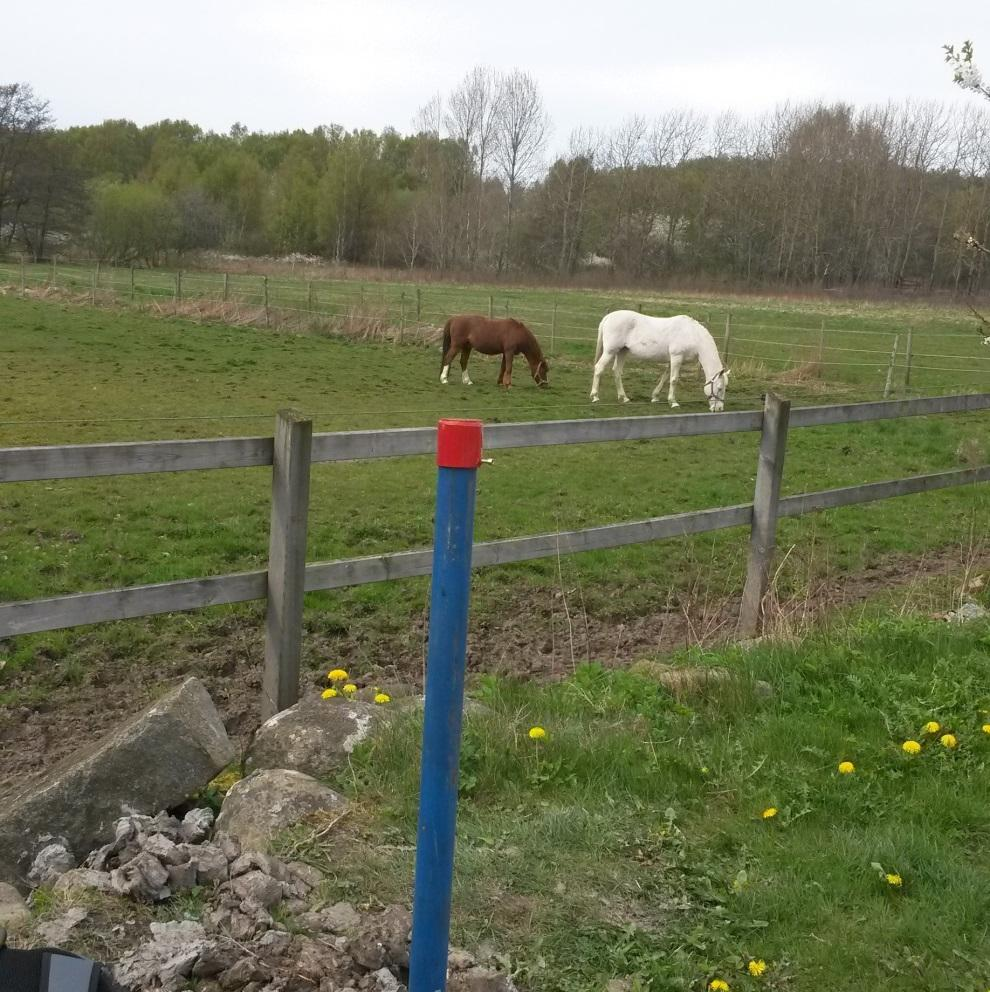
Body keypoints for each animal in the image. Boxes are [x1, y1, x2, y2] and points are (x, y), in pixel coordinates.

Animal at [588, 310, 728, 410]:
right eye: (720, 388)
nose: (719, 409)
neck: (693, 335)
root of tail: (608, 317)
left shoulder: (673, 360)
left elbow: (665, 377)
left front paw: (655, 397)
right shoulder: (676, 357)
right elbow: (673, 379)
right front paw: (673, 402)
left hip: (622, 351)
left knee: (617, 371)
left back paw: (624, 398)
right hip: (610, 351)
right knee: (599, 368)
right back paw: (595, 396)